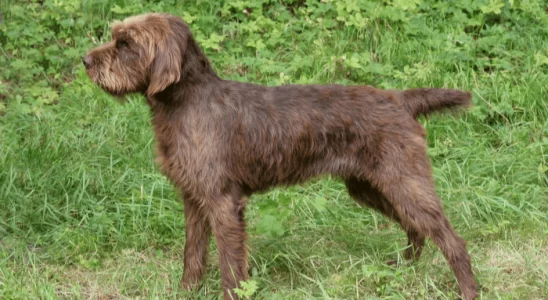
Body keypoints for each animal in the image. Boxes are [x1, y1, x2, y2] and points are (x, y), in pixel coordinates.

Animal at [82, 12, 480, 300]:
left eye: (126, 44)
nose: (86, 60)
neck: (186, 102)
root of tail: (400, 99)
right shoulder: (194, 200)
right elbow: (192, 255)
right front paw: (185, 293)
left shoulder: (223, 203)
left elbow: (230, 267)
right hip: (370, 187)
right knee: (416, 228)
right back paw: (404, 266)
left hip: (403, 183)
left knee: (451, 239)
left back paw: (468, 290)